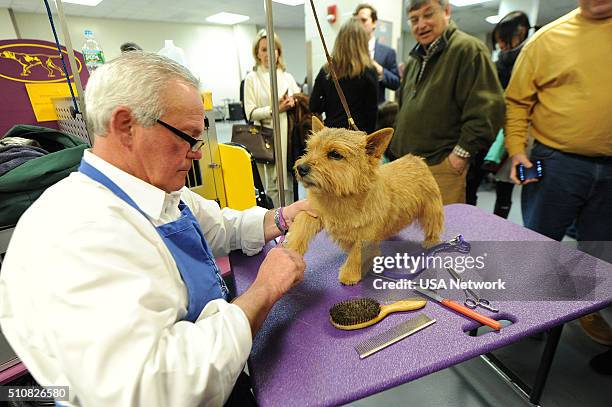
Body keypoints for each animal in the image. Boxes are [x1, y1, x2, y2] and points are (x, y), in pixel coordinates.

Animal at [284, 116, 442, 286]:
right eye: (310, 149)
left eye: (335, 154)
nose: (301, 168)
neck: (339, 197)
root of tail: (416, 159)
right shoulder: (313, 212)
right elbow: (301, 226)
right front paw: (291, 249)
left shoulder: (365, 235)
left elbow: (357, 254)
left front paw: (350, 275)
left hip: (431, 209)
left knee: (433, 225)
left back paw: (431, 242)